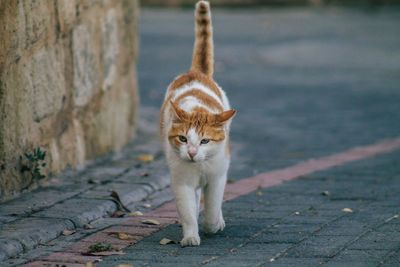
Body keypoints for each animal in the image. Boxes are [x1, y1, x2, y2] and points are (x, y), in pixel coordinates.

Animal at [159, 0, 236, 247]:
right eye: (183, 138)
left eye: (205, 141)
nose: (192, 153)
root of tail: (195, 72)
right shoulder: (181, 182)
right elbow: (187, 211)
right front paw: (191, 236)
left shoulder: (217, 177)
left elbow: (212, 208)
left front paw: (212, 225)